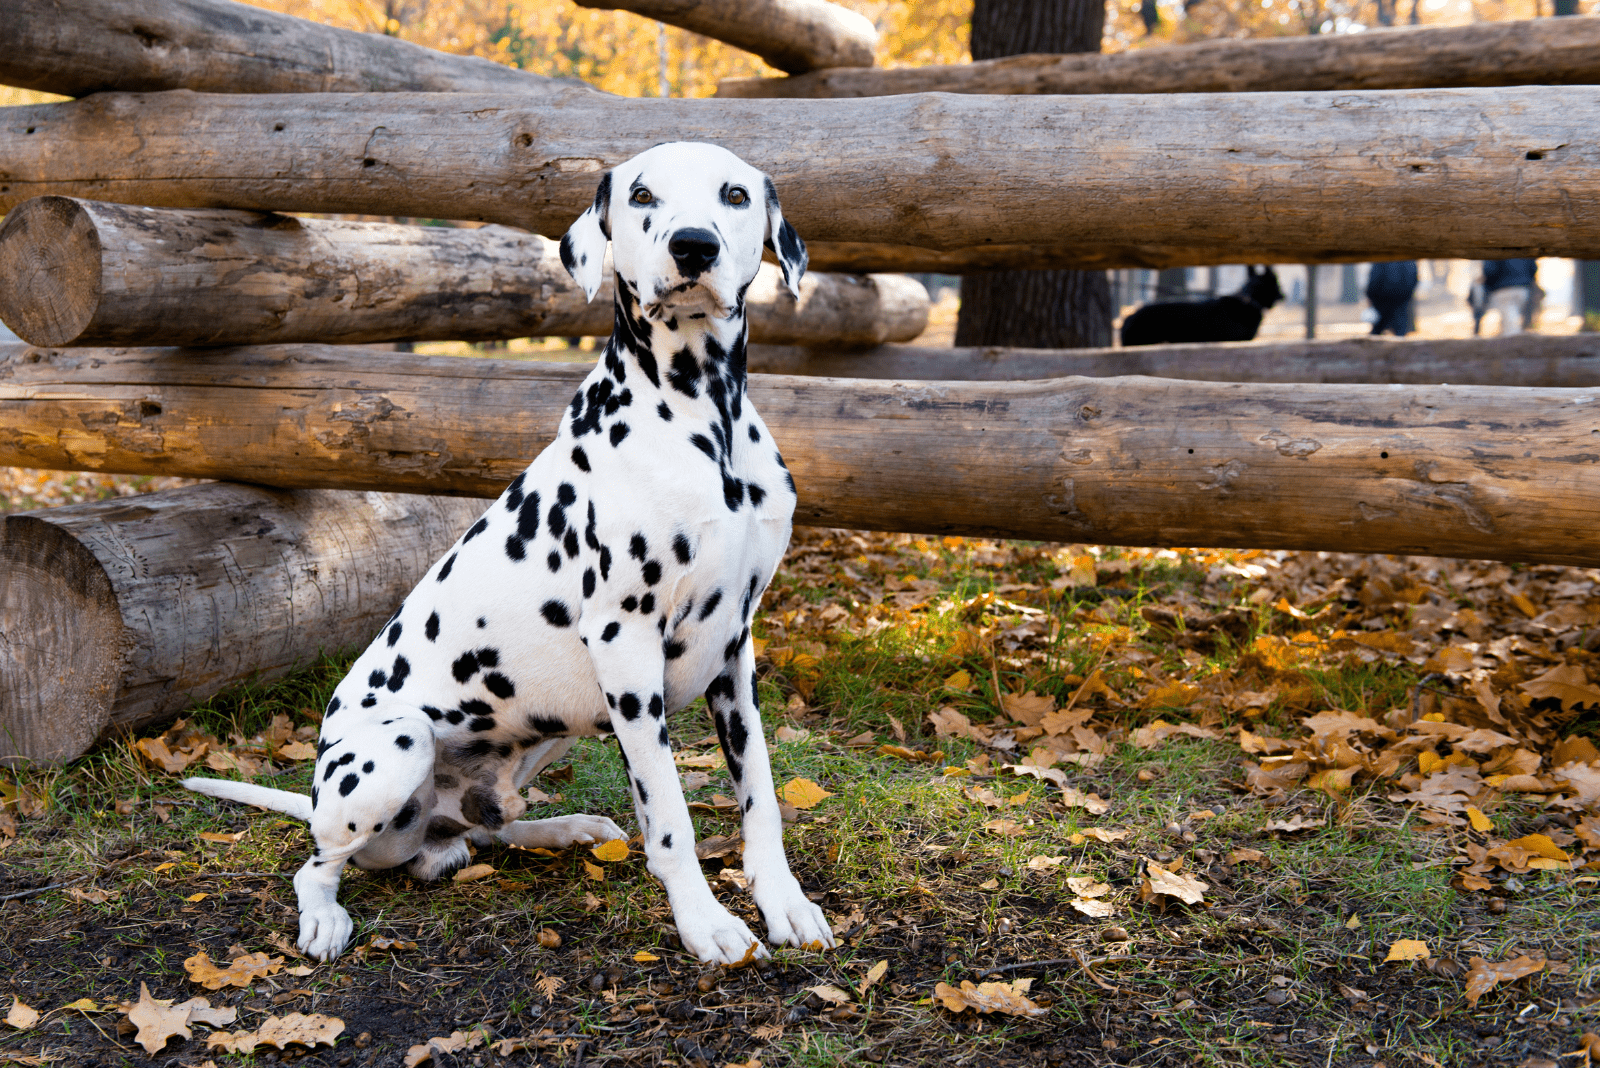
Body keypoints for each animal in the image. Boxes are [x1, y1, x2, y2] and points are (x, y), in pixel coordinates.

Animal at [184, 141, 838, 965]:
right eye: (643, 194)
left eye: (734, 195)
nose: (695, 246)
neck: (704, 420)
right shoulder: (626, 645)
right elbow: (671, 820)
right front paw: (707, 923)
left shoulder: (735, 650)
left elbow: (760, 796)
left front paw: (784, 903)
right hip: (394, 747)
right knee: (318, 864)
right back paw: (326, 916)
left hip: (549, 728)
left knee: (484, 827)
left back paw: (563, 828)